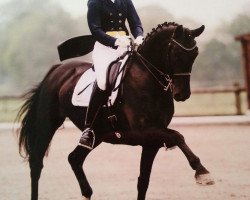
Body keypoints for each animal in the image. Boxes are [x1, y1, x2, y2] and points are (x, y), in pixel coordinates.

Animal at [16, 22, 214, 200]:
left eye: (195, 54)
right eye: (177, 54)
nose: (182, 94)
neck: (148, 78)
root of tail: (57, 69)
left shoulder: (152, 141)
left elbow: (143, 182)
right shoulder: (144, 132)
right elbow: (178, 136)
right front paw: (202, 172)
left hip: (97, 133)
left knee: (74, 158)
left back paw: (87, 192)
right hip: (47, 124)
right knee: (37, 163)